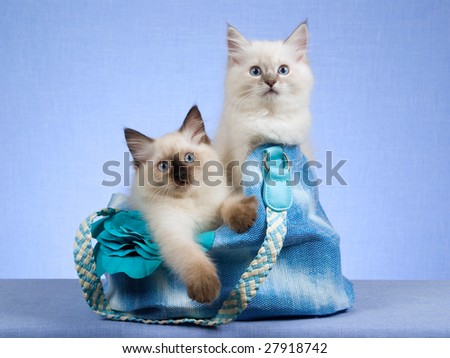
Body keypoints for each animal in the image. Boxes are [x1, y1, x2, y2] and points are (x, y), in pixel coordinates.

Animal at [125, 105, 256, 302]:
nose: (181, 175)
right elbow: (192, 257)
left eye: (188, 158)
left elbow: (227, 205)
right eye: (164, 166)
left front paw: (243, 220)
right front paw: (205, 288)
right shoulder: (173, 232)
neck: (191, 201)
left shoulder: (218, 205)